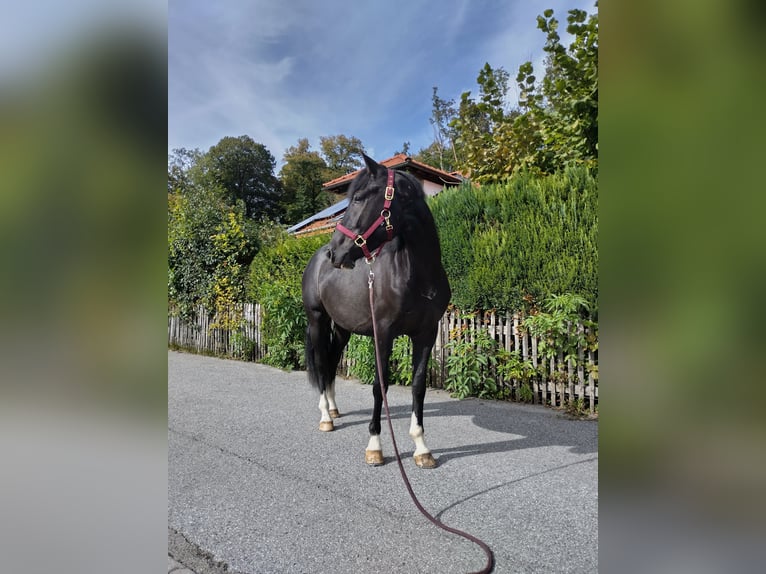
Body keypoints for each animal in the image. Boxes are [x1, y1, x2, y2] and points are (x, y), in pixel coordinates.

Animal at [304, 155, 452, 470]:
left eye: (359, 198)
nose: (335, 252)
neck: (416, 275)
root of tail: (316, 258)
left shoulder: (426, 334)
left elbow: (418, 386)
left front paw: (422, 448)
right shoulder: (382, 333)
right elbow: (378, 387)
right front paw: (375, 446)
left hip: (342, 328)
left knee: (331, 362)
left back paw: (333, 410)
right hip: (317, 320)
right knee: (322, 364)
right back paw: (325, 417)